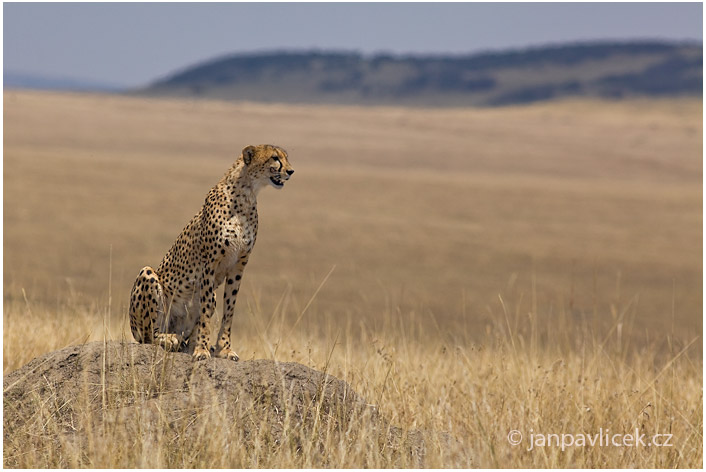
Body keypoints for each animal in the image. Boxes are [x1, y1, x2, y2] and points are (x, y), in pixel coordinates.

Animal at [130, 144, 294, 362]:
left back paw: (189, 343)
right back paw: (169, 339)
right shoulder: (209, 264)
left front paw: (224, 349)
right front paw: (202, 350)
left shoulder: (238, 266)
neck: (247, 192)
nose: (291, 171)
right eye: (275, 158)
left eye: (286, 157)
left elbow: (229, 310)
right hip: (147, 276)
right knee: (148, 336)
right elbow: (206, 312)